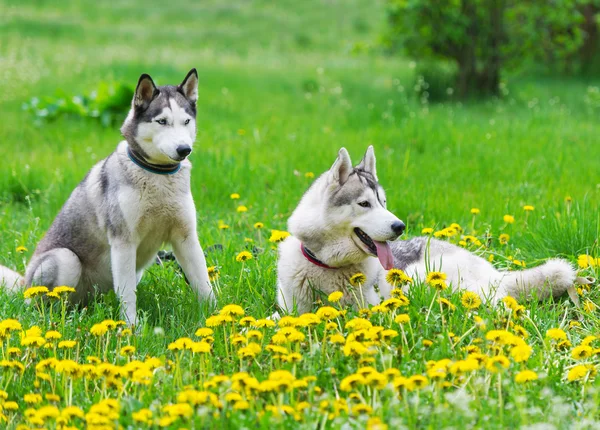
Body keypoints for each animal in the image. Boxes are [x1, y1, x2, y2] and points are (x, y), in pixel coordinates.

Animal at [0, 69, 213, 322]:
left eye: (186, 121)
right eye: (162, 121)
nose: (184, 149)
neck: (157, 176)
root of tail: (23, 283)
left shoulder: (186, 238)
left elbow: (205, 285)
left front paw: (217, 317)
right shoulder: (123, 242)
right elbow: (128, 296)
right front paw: (132, 327)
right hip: (65, 259)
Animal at [276, 146, 576, 314]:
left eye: (383, 202)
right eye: (364, 203)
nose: (399, 226)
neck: (327, 267)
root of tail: (495, 274)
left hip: (419, 275)